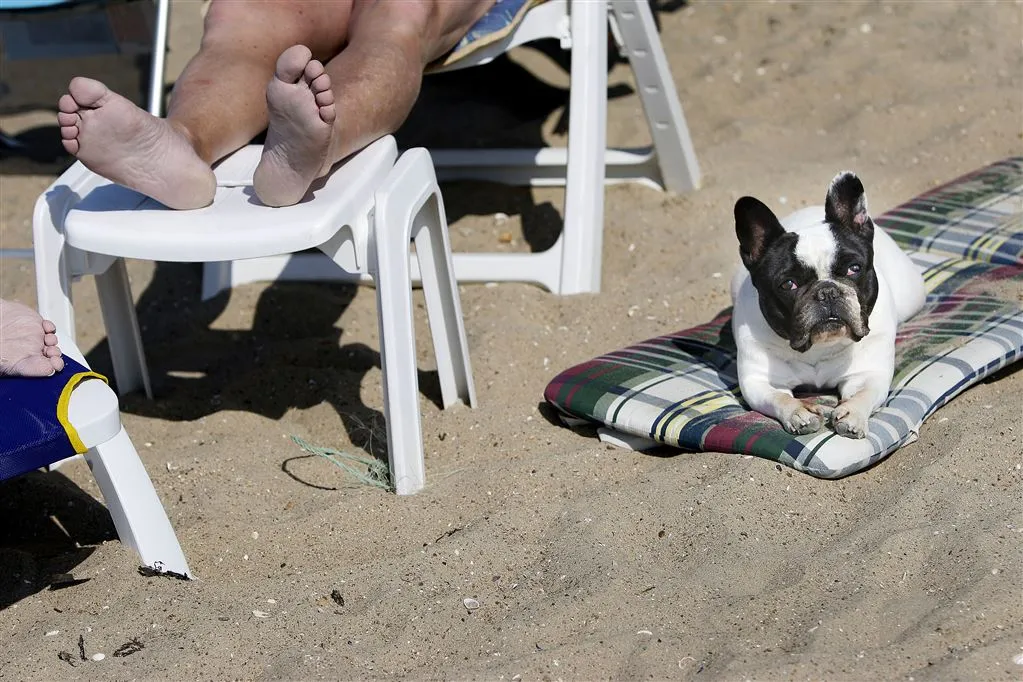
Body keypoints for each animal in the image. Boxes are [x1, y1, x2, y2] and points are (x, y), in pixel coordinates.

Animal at [732, 170, 924, 437]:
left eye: (854, 268)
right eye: (788, 284)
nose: (827, 292)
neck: (818, 348)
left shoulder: (867, 374)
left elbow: (864, 394)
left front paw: (852, 415)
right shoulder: (760, 381)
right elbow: (780, 398)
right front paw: (799, 413)